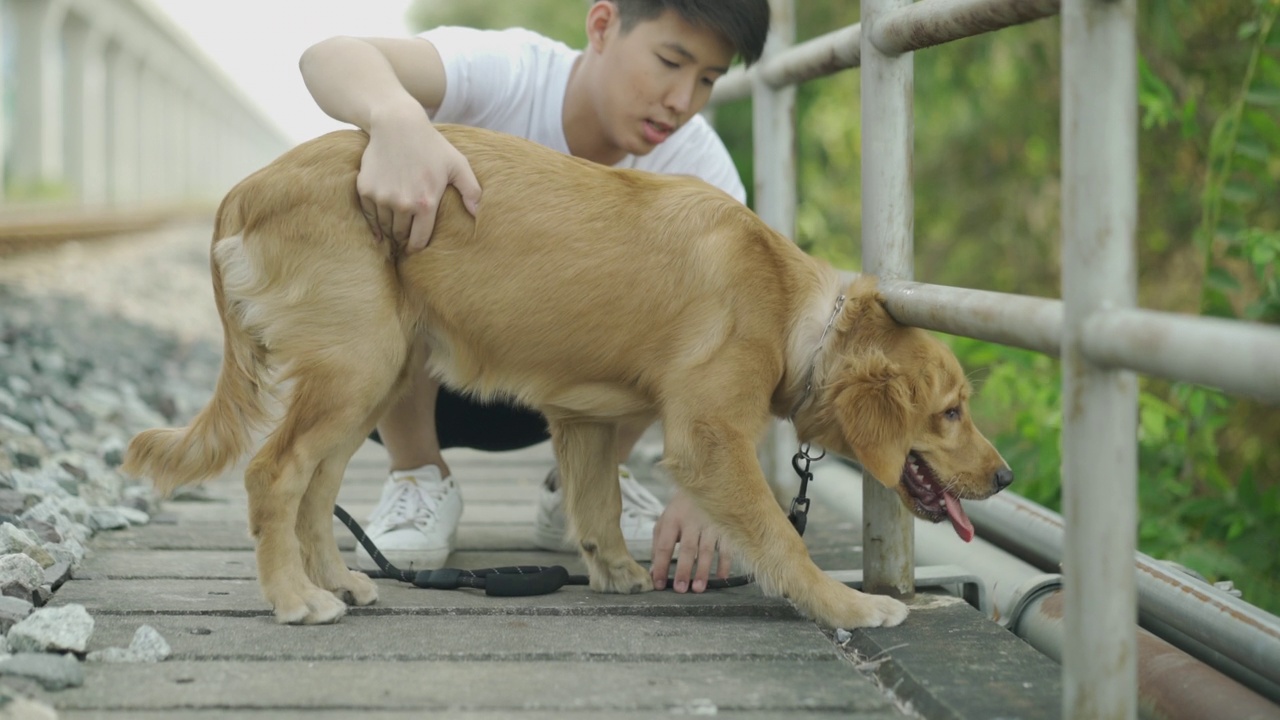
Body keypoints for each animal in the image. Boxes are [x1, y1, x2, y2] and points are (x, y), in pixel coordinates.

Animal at [124, 124, 1013, 627]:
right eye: (952, 412)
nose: (1005, 477)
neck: (791, 303)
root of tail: (247, 189)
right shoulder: (707, 435)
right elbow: (780, 540)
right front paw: (848, 605)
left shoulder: (585, 420)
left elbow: (600, 503)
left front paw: (614, 571)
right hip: (355, 366)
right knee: (274, 475)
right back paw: (293, 599)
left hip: (371, 374)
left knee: (315, 490)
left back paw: (341, 582)